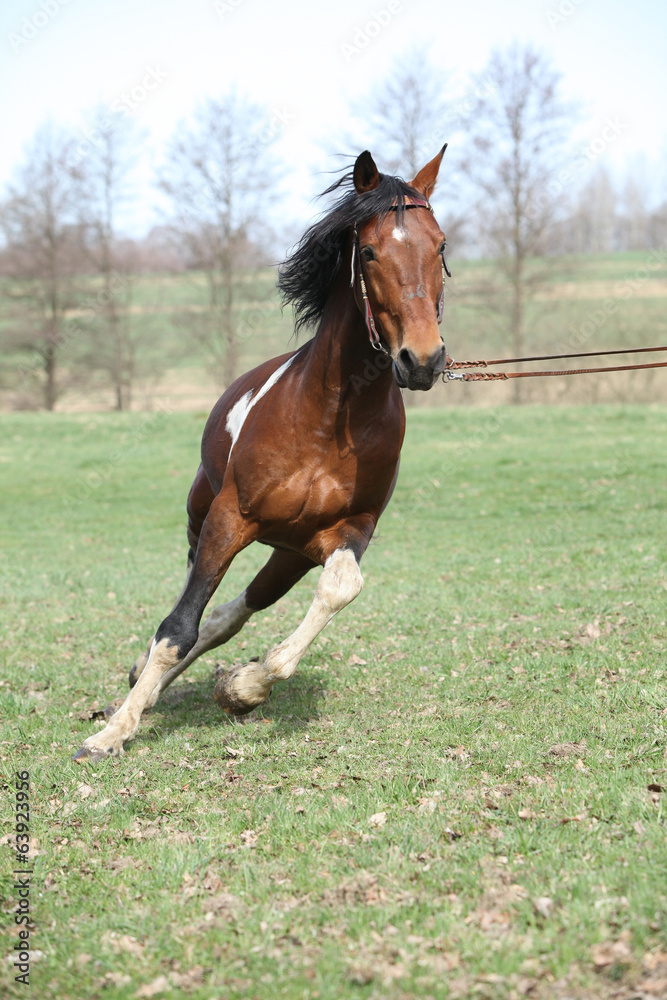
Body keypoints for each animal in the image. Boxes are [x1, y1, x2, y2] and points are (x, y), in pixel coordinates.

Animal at [73, 146, 450, 761]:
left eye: (439, 245)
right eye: (370, 251)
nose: (422, 360)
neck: (330, 419)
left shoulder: (347, 532)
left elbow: (338, 589)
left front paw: (243, 685)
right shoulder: (231, 517)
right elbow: (177, 627)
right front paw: (109, 734)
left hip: (288, 552)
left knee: (233, 613)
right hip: (203, 513)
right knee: (191, 597)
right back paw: (141, 686)